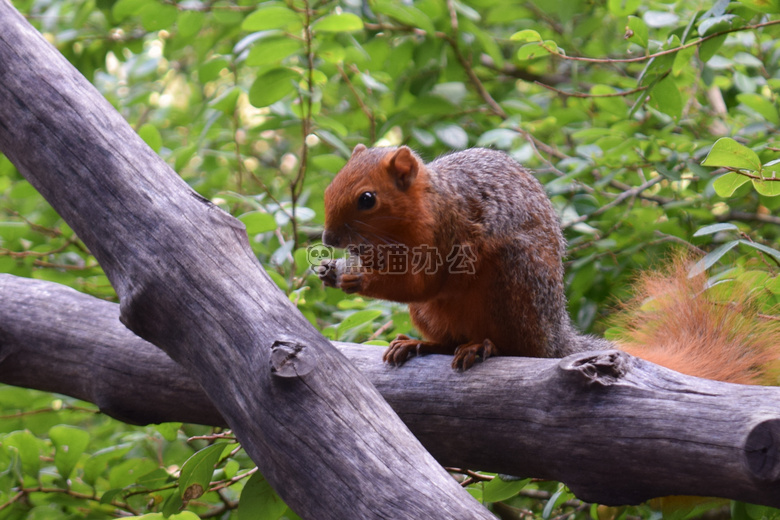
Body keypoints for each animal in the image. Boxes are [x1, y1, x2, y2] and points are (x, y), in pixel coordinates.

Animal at [318, 144, 780, 384]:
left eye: (367, 199)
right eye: (329, 186)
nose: (327, 239)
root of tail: (553, 337)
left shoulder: (449, 231)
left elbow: (422, 283)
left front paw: (354, 278)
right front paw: (332, 268)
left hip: (514, 278)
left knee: (517, 348)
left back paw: (483, 346)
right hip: (435, 314)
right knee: (448, 339)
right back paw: (421, 344)